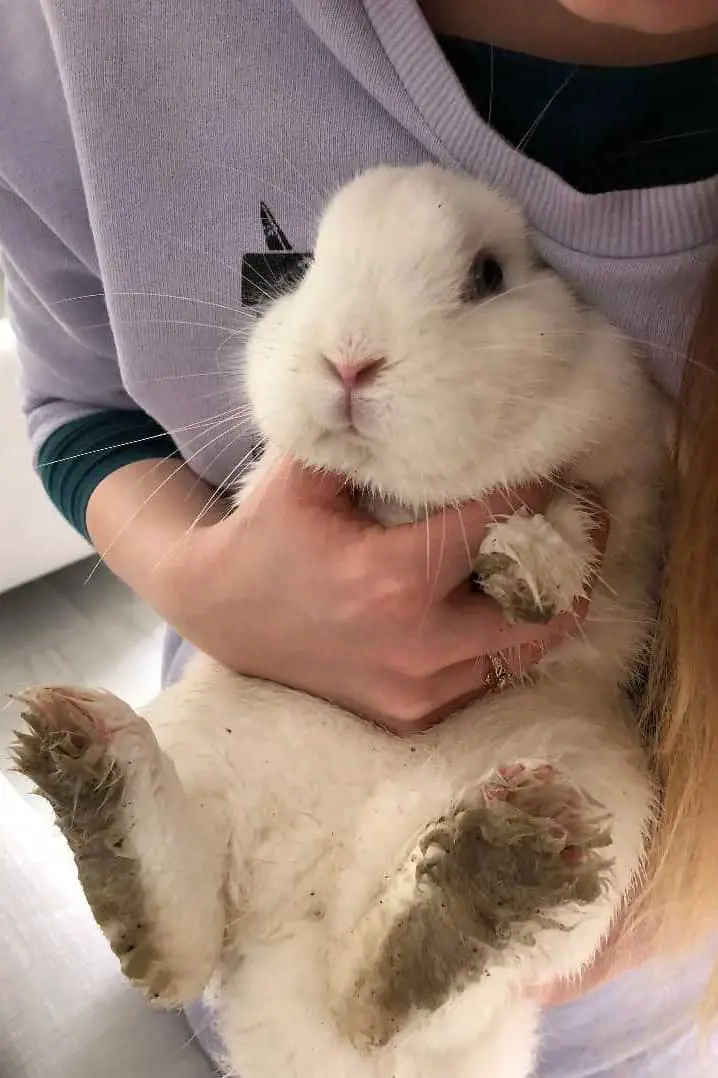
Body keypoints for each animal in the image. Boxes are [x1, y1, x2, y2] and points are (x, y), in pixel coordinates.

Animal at [14, 161, 668, 1078]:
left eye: (488, 276)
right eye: (306, 267)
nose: (350, 362)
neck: (403, 497)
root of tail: (299, 918)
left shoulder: (614, 475)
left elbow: (573, 518)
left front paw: (524, 572)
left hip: (595, 787)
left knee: (376, 996)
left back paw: (494, 869)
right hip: (208, 735)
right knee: (189, 938)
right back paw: (91, 778)